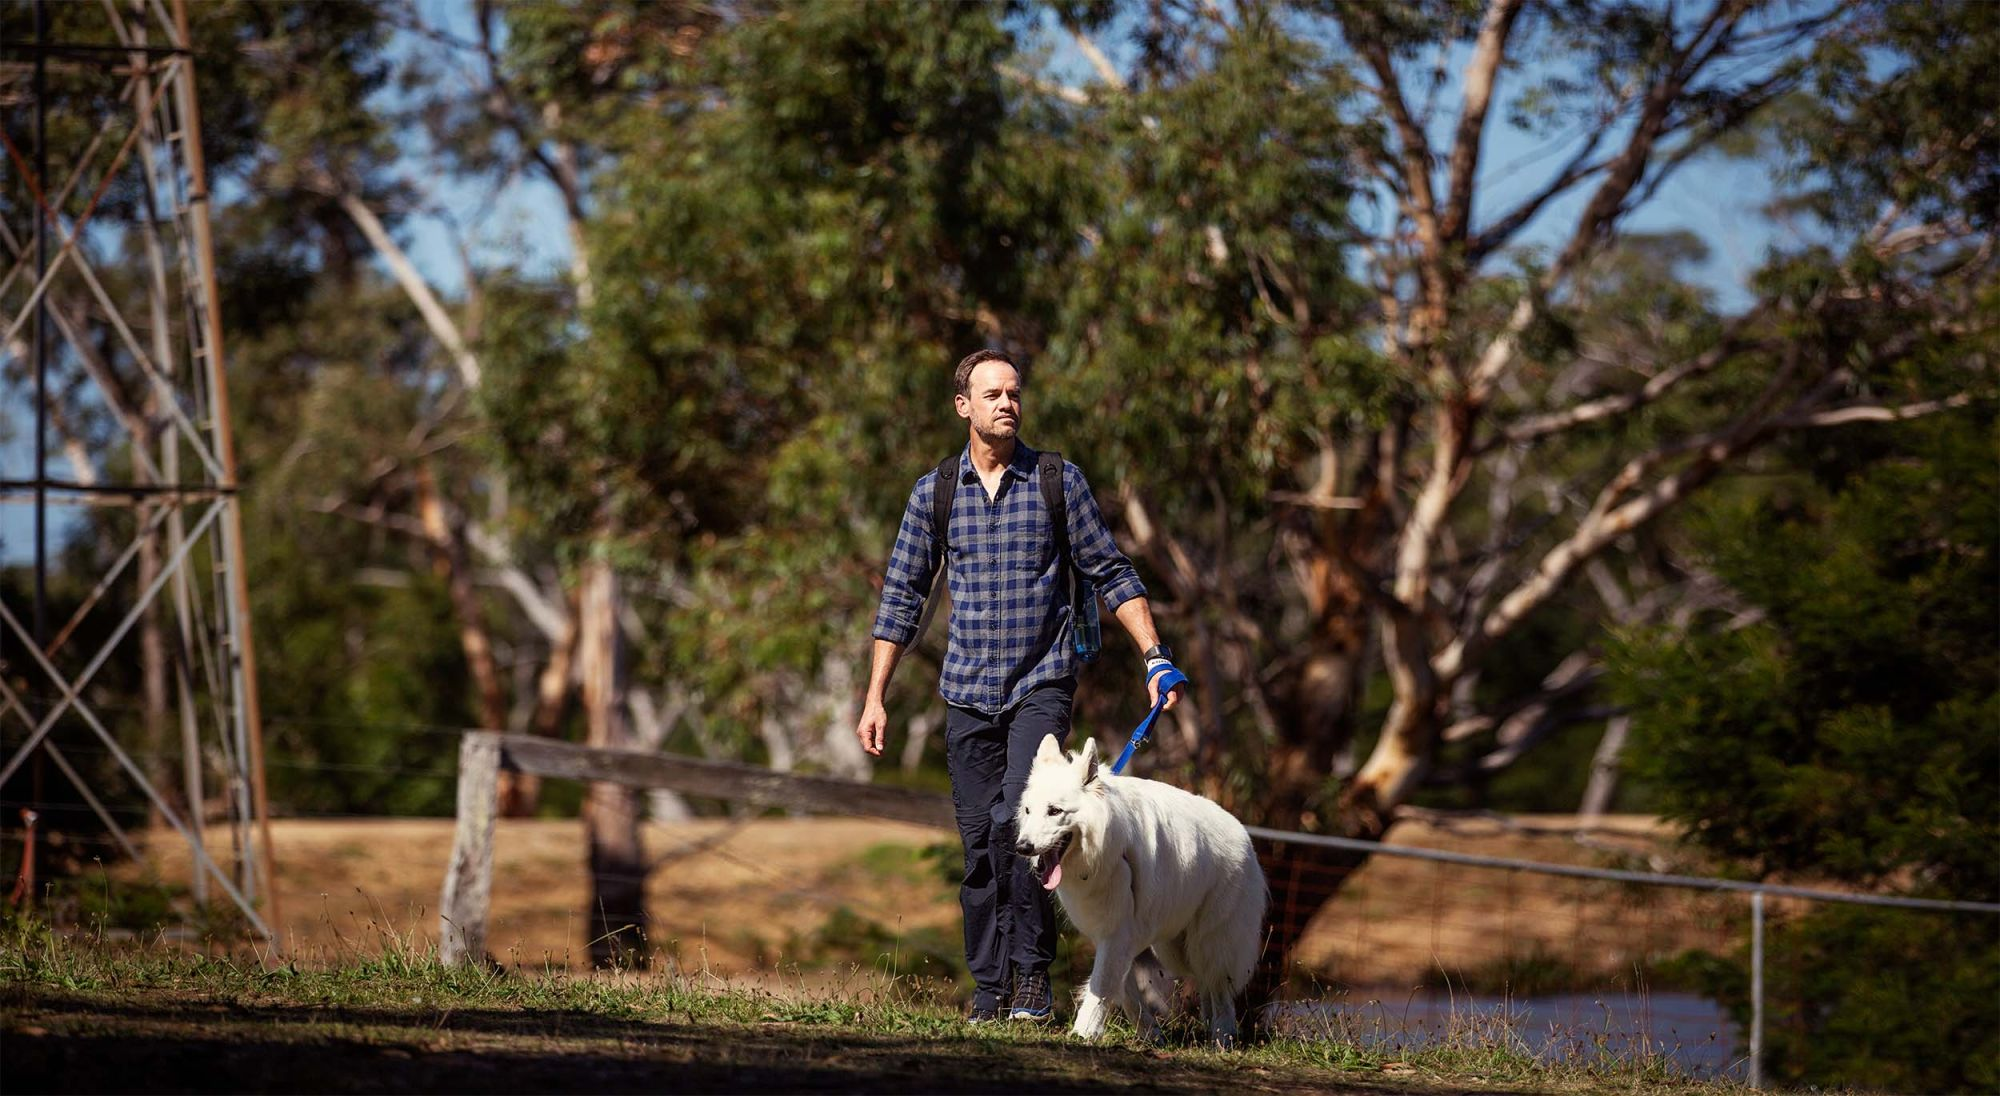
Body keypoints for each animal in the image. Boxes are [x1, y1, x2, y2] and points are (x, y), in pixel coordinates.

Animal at [1016, 732, 1264, 1048]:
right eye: (1028, 811)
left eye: (1054, 811)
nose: (1022, 847)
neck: (1107, 847)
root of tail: (1243, 832)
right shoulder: (1110, 933)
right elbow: (1123, 989)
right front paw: (1149, 1032)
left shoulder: (1117, 933)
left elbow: (1102, 985)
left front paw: (1083, 1032)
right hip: (1175, 946)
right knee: (1208, 985)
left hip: (1209, 942)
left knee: (1219, 989)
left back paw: (1222, 1038)